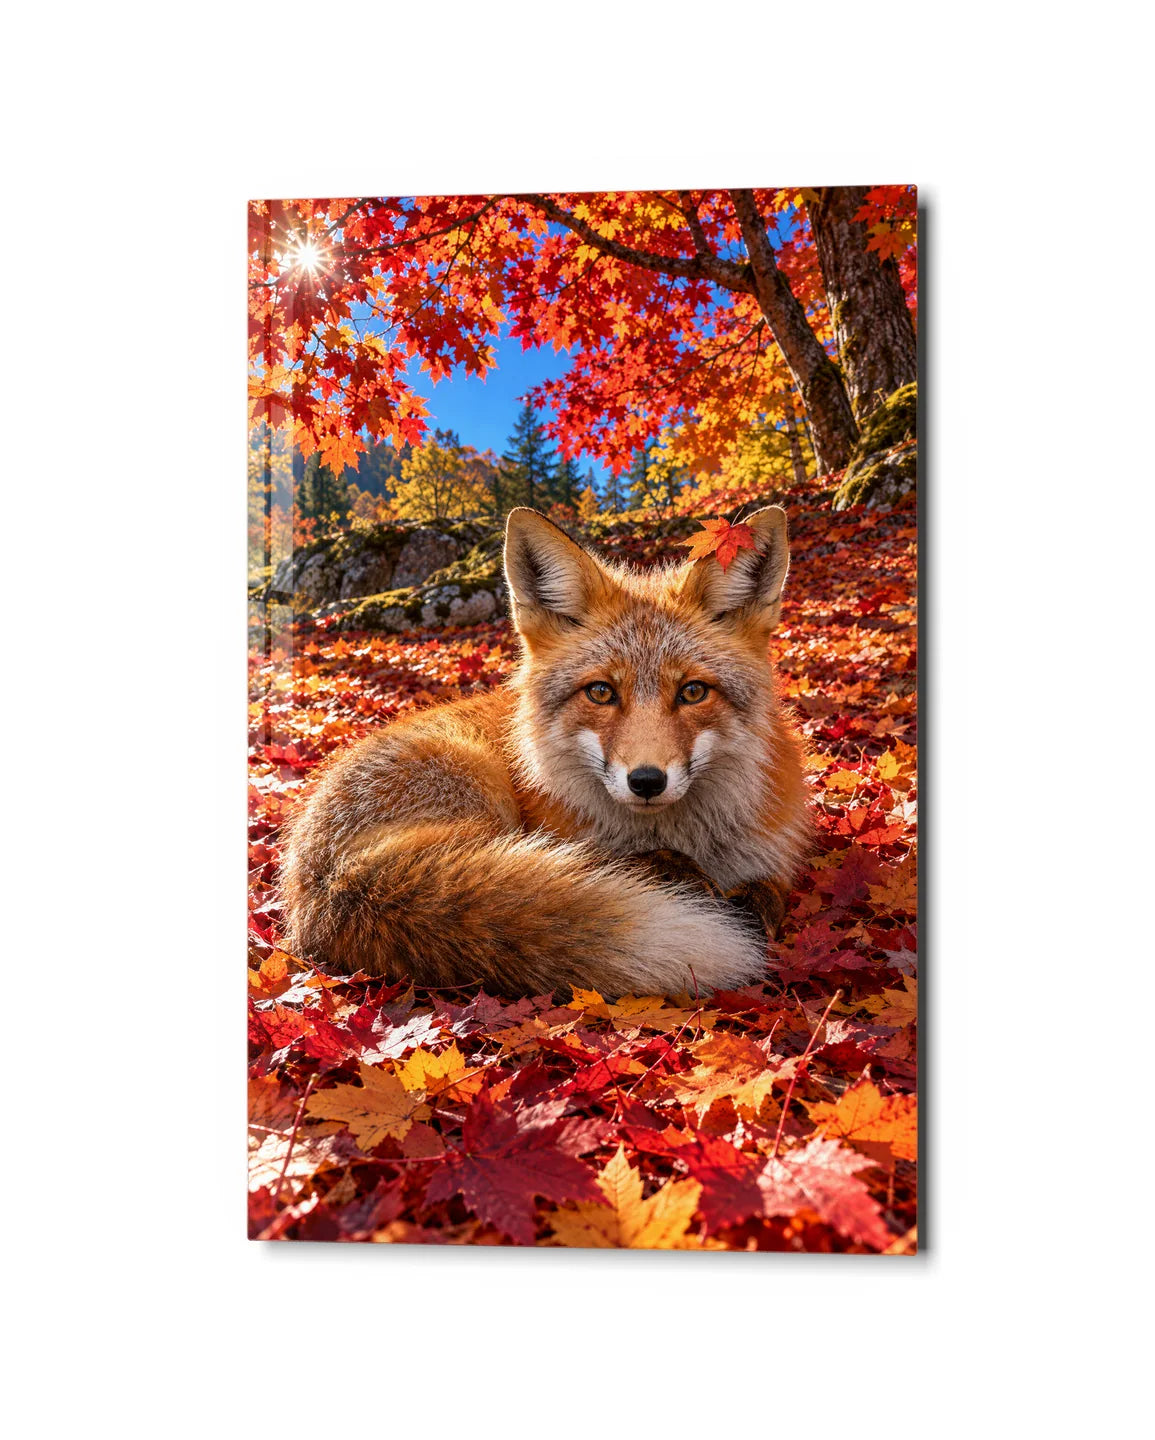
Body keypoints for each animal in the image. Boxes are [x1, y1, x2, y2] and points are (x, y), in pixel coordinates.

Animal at [280, 505, 810, 998]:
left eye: (693, 692)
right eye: (601, 692)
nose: (646, 781)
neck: (685, 837)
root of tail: (332, 880)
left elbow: (769, 894)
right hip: (480, 790)